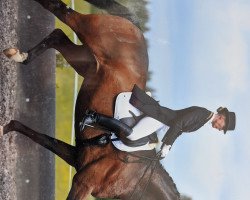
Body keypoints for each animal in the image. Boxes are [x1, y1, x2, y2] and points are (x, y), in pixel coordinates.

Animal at [0, 0, 180, 199]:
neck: (134, 179)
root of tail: (136, 28)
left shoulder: (77, 158)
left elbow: (42, 138)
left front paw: (6, 128)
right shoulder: (83, 183)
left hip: (85, 63)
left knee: (58, 36)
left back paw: (20, 56)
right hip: (88, 31)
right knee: (61, 10)